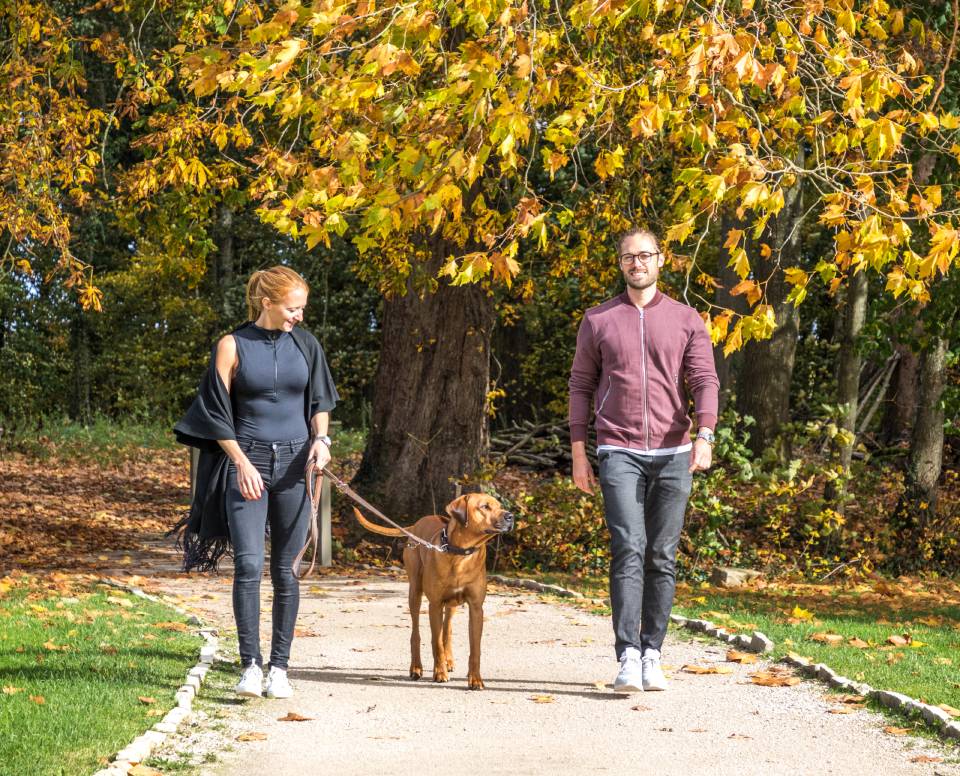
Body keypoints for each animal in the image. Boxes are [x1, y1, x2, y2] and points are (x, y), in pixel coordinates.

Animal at [352, 494, 512, 688]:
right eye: (485, 507)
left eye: (499, 505)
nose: (510, 516)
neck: (460, 555)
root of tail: (415, 525)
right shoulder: (435, 605)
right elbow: (436, 643)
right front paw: (440, 673)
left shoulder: (476, 608)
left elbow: (475, 648)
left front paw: (475, 679)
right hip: (415, 591)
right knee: (416, 633)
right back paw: (416, 667)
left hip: (452, 604)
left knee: (447, 630)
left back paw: (449, 660)